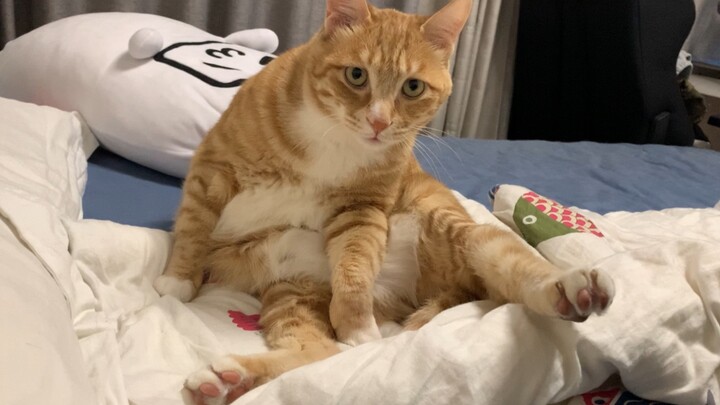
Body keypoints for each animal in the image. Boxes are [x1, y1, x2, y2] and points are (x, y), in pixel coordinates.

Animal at [152, 0, 612, 400]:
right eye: (357, 75)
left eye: (413, 87)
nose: (379, 122)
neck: (332, 139)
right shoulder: (213, 168)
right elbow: (193, 227)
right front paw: (178, 281)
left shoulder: (360, 210)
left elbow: (355, 270)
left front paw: (357, 327)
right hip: (292, 290)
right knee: (314, 352)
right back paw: (228, 380)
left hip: (463, 235)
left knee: (517, 267)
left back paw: (573, 291)